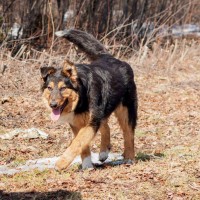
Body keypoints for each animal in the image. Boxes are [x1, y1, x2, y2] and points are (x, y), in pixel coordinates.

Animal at [40, 29, 138, 170]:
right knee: (106, 126)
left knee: (128, 134)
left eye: (63, 88)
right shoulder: (77, 123)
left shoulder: (90, 123)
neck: (81, 98)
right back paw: (103, 152)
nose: (52, 105)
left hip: (126, 111)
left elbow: (77, 142)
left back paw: (129, 158)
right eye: (49, 88)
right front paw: (87, 165)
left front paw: (62, 163)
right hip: (102, 113)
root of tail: (109, 57)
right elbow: (83, 146)